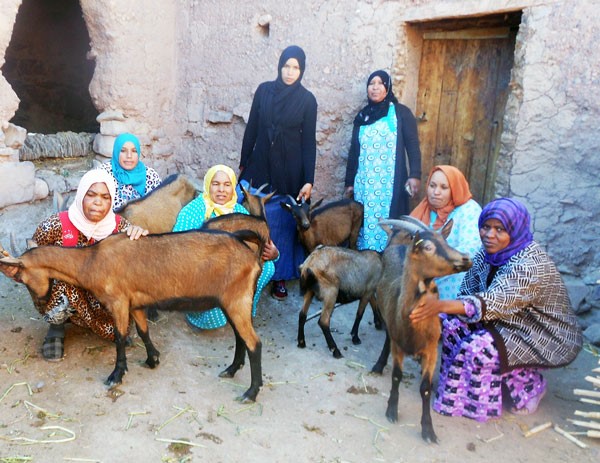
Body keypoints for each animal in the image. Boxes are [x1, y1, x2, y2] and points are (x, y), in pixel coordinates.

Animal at [0, 230, 268, 404]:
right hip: (231, 302)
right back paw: (231, 370)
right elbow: (142, 330)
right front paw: (152, 359)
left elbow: (120, 337)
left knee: (254, 342)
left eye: (20, 277)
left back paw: (250, 393)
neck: (91, 261)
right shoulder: (135, 303)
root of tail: (252, 256)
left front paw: (116, 376)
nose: (41, 303)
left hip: (237, 300)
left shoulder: (118, 302)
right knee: (240, 337)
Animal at [370, 216, 474, 444]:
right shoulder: (398, 345)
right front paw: (391, 411)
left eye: (445, 240)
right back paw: (378, 364)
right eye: (428, 247)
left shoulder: (431, 350)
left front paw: (428, 430)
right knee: (387, 339)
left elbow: (425, 389)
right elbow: (397, 376)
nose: (465, 258)